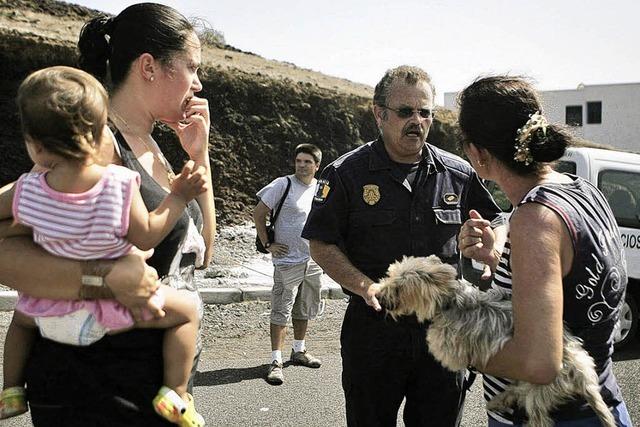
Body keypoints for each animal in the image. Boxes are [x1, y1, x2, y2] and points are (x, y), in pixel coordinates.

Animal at [378, 258, 616, 427]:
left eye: (399, 288)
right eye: (390, 275)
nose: (378, 295)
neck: (451, 300)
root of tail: (581, 369)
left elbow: (444, 348)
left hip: (539, 389)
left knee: (540, 417)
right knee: (518, 392)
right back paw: (499, 400)